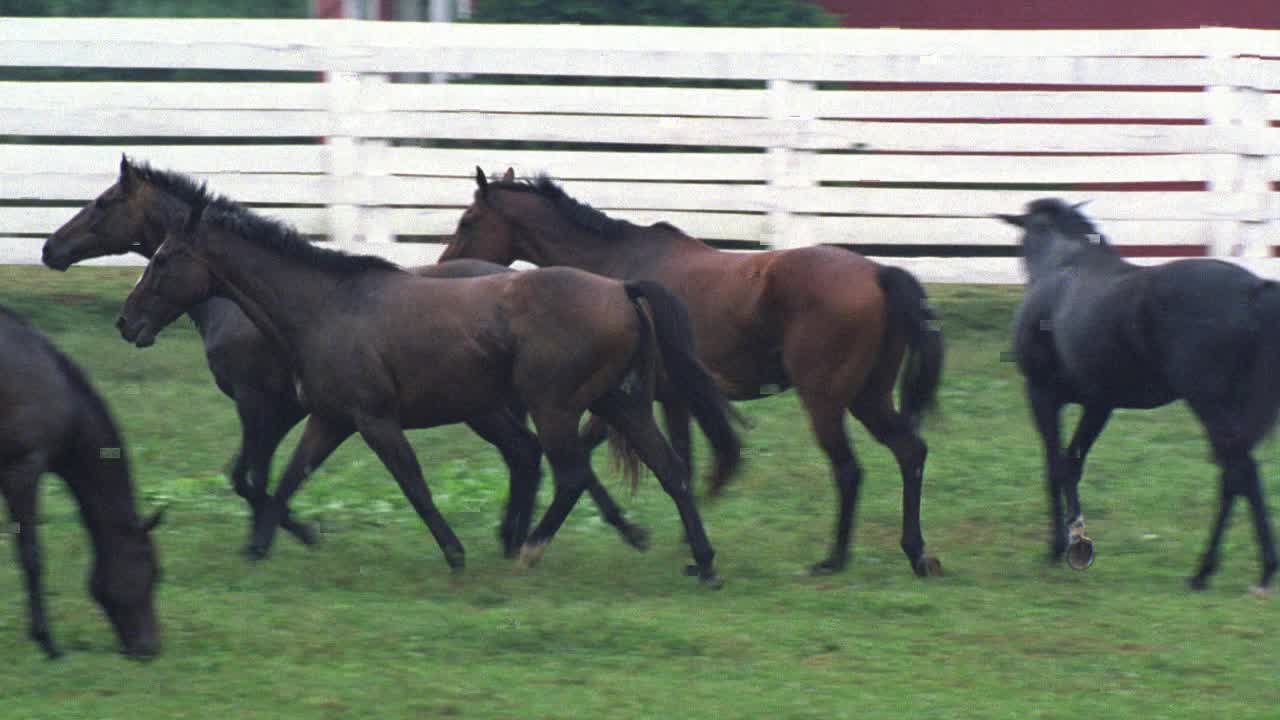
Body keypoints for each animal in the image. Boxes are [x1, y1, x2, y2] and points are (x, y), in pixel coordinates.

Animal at [43, 158, 645, 556]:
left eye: (103, 204)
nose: (51, 249)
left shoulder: (268, 406)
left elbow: (253, 479)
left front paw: (300, 533)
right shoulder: (311, 413)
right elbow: (267, 477)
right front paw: (274, 538)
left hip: (502, 406)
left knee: (546, 458)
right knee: (537, 457)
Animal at [117, 183, 742, 584]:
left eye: (165, 258)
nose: (127, 321)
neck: (327, 306)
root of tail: (621, 289)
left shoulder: (373, 419)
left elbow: (413, 485)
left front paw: (455, 553)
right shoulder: (331, 418)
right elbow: (289, 477)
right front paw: (261, 547)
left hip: (555, 407)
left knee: (569, 474)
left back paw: (530, 548)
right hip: (618, 404)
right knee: (669, 469)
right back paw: (703, 561)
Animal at [435, 167, 947, 576]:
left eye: (468, 221)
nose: (442, 269)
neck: (616, 276)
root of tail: (879, 273)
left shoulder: (618, 399)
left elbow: (589, 456)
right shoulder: (671, 398)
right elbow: (680, 460)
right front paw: (684, 539)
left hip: (825, 400)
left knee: (849, 470)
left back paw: (834, 559)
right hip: (867, 397)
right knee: (911, 451)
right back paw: (916, 552)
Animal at [998, 196, 1280, 589]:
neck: (1063, 267)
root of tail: (1254, 290)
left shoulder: (1041, 394)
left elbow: (1055, 467)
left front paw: (1060, 546)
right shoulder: (1099, 404)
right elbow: (1072, 464)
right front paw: (1078, 542)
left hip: (1210, 404)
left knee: (1239, 473)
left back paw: (1213, 571)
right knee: (1236, 476)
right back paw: (1242, 569)